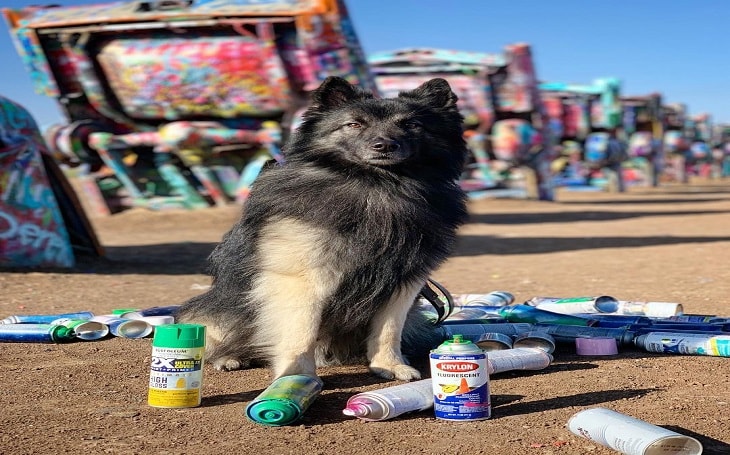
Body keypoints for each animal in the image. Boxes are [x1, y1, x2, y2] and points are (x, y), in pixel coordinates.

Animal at [175, 76, 466, 382]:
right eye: (354, 124)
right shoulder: (304, 279)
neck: (379, 186)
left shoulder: (404, 283)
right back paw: (229, 357)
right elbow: (300, 333)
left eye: (412, 125)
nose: (384, 145)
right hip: (218, 314)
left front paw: (390, 365)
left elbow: (388, 330)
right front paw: (296, 376)